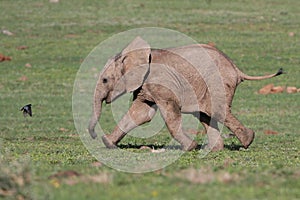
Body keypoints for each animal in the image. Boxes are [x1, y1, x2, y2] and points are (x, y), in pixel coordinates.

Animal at [88, 36, 282, 152]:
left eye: (104, 80)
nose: (94, 135)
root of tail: (235, 68)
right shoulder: (145, 86)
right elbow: (140, 114)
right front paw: (108, 143)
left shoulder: (161, 83)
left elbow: (169, 115)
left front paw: (190, 147)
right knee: (205, 114)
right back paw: (213, 149)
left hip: (217, 82)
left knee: (217, 111)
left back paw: (247, 141)